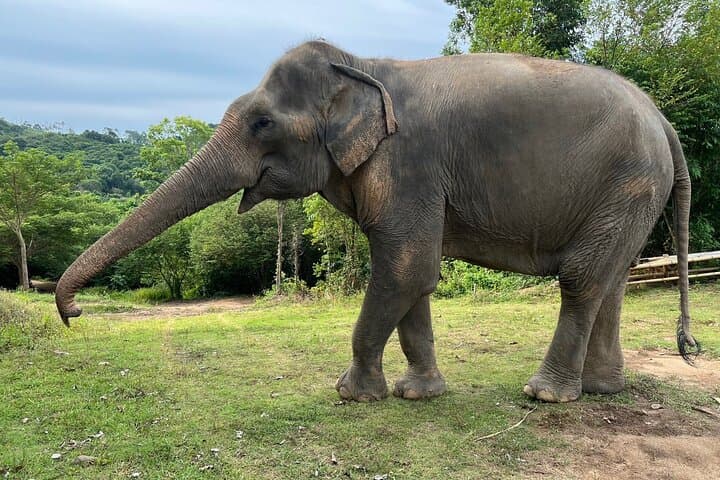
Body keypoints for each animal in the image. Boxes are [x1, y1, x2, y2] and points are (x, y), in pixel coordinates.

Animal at [56, 40, 699, 403]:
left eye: (262, 123)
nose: (72, 312)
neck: (361, 67)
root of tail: (664, 122)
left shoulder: (409, 162)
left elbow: (406, 266)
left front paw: (352, 396)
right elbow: (414, 275)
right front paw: (418, 395)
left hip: (628, 180)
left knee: (583, 279)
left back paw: (546, 397)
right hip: (631, 192)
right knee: (612, 280)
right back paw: (603, 390)